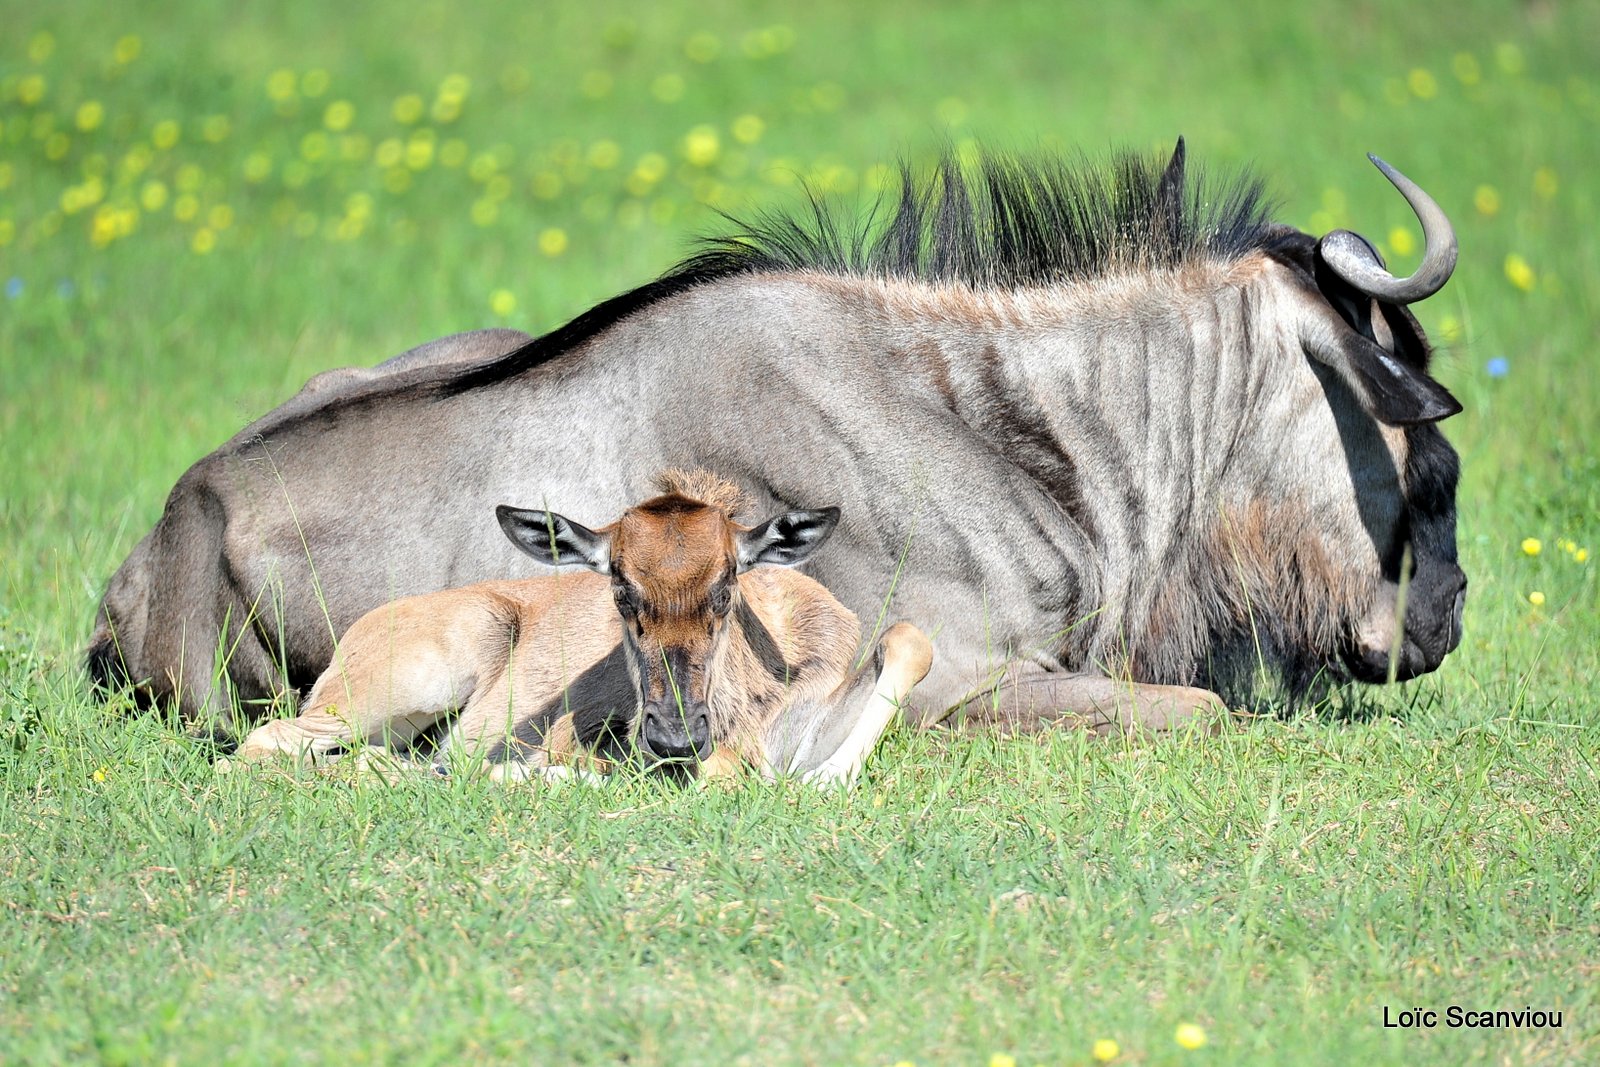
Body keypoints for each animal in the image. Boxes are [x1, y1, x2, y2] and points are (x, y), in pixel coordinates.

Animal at [236, 470, 934, 783]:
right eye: (620, 589)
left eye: (727, 585)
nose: (674, 737)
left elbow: (909, 640)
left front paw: (824, 779)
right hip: (391, 694)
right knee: (266, 744)